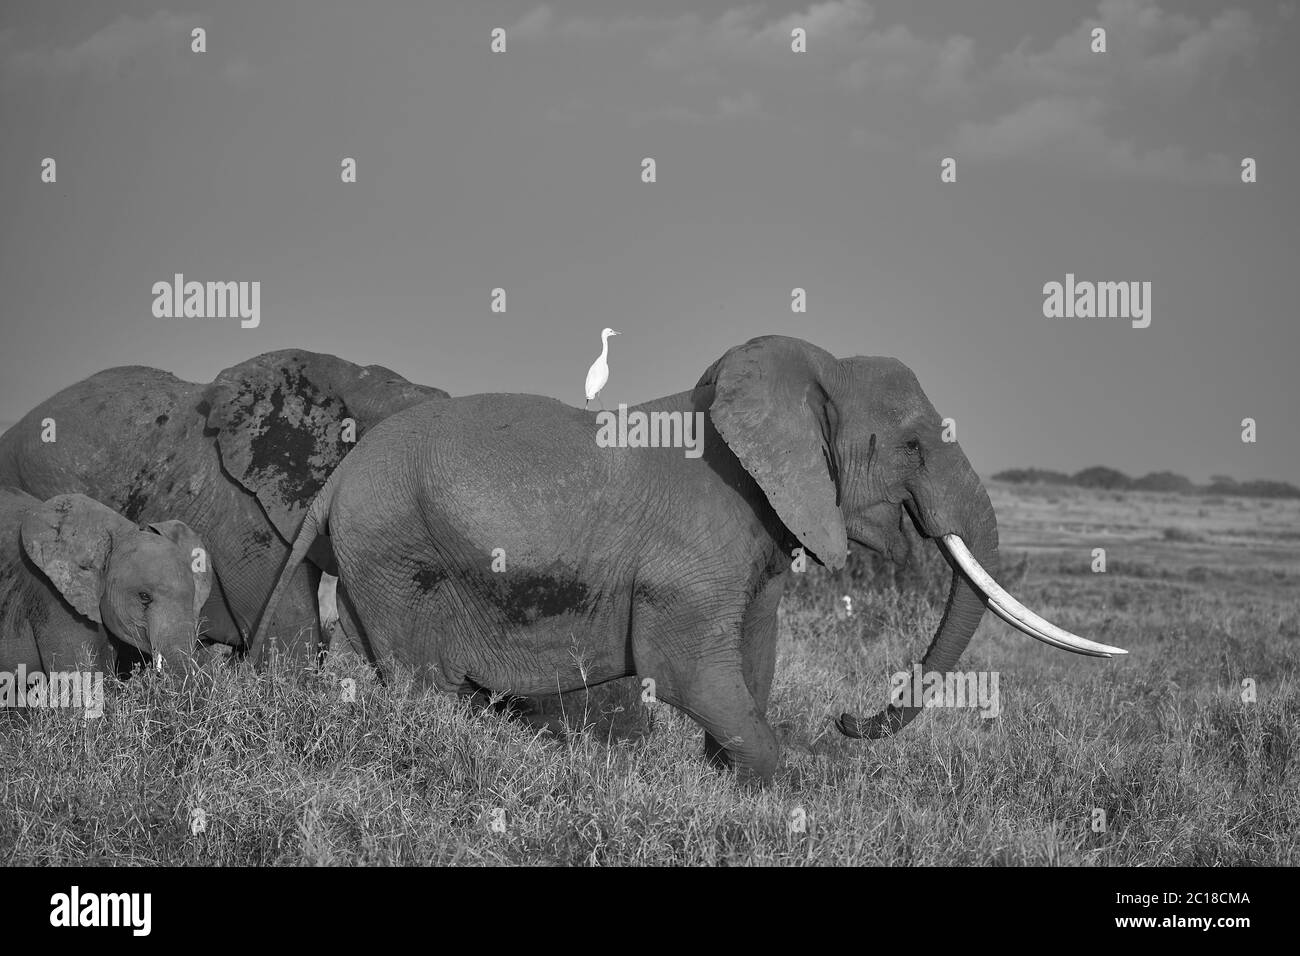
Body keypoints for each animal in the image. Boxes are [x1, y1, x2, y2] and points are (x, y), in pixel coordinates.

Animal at [256, 335, 1128, 785]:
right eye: (912, 445)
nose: (848, 720)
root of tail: (335, 483)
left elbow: (753, 652)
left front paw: (730, 785)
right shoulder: (690, 557)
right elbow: (686, 673)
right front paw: (780, 791)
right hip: (393, 554)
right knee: (419, 684)